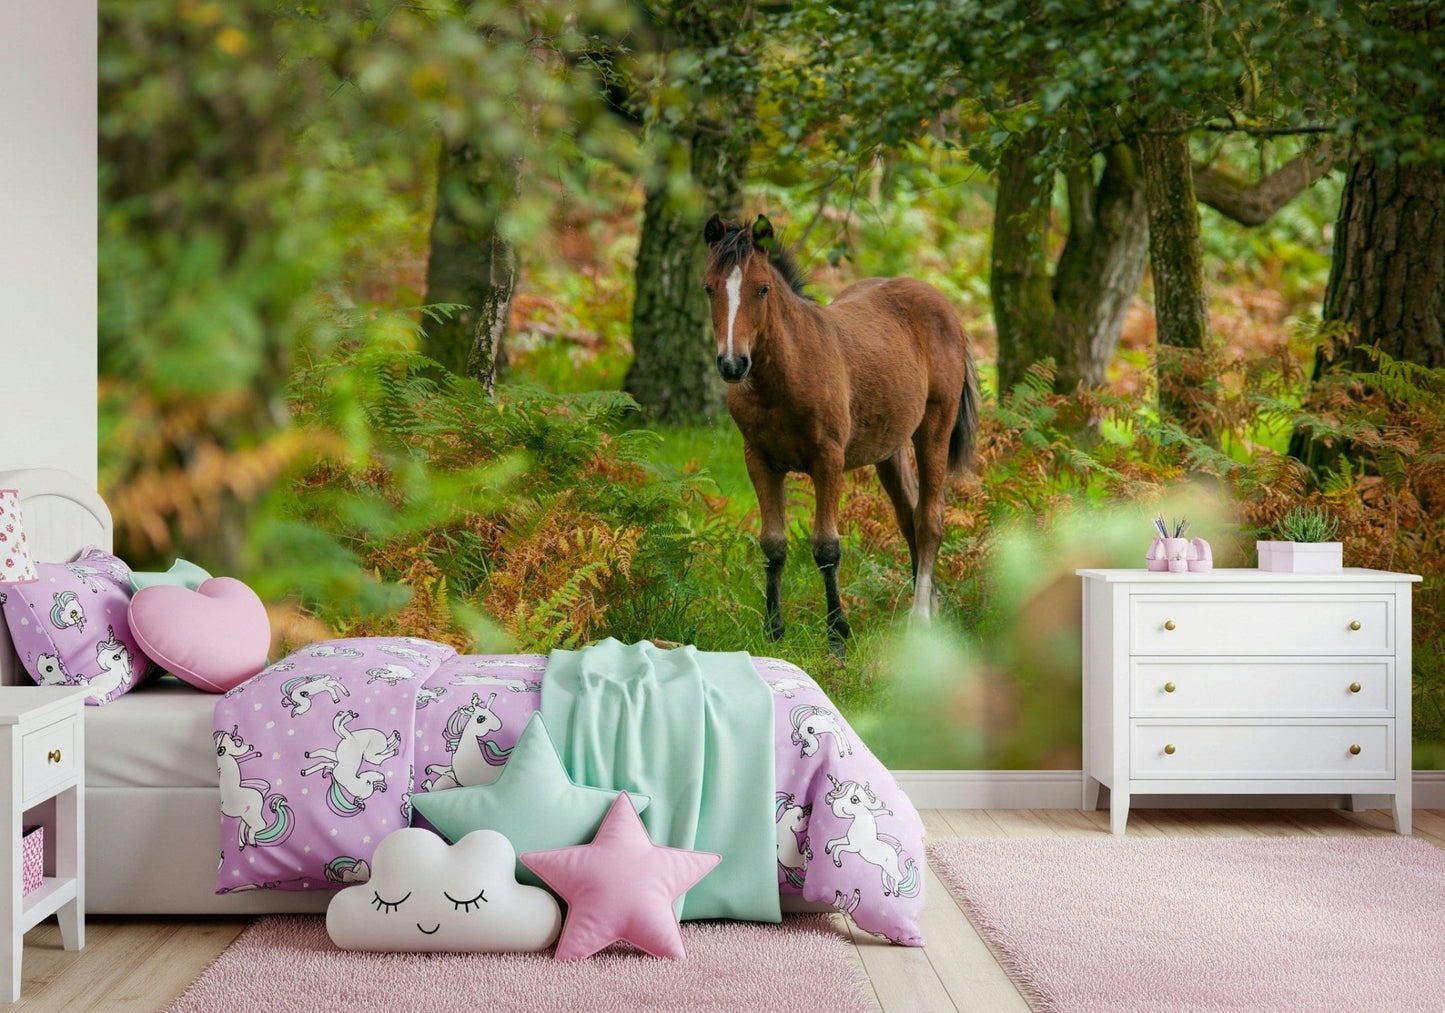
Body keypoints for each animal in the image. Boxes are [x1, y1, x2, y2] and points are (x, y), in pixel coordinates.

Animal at [703, 214, 979, 645]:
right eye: (709, 288)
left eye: (762, 288)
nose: (733, 364)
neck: (786, 375)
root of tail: (943, 305)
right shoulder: (759, 461)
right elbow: (773, 544)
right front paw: (774, 630)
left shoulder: (828, 460)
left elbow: (826, 548)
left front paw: (837, 634)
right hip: (889, 449)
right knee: (909, 517)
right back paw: (931, 611)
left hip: (934, 428)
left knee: (929, 519)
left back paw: (920, 619)